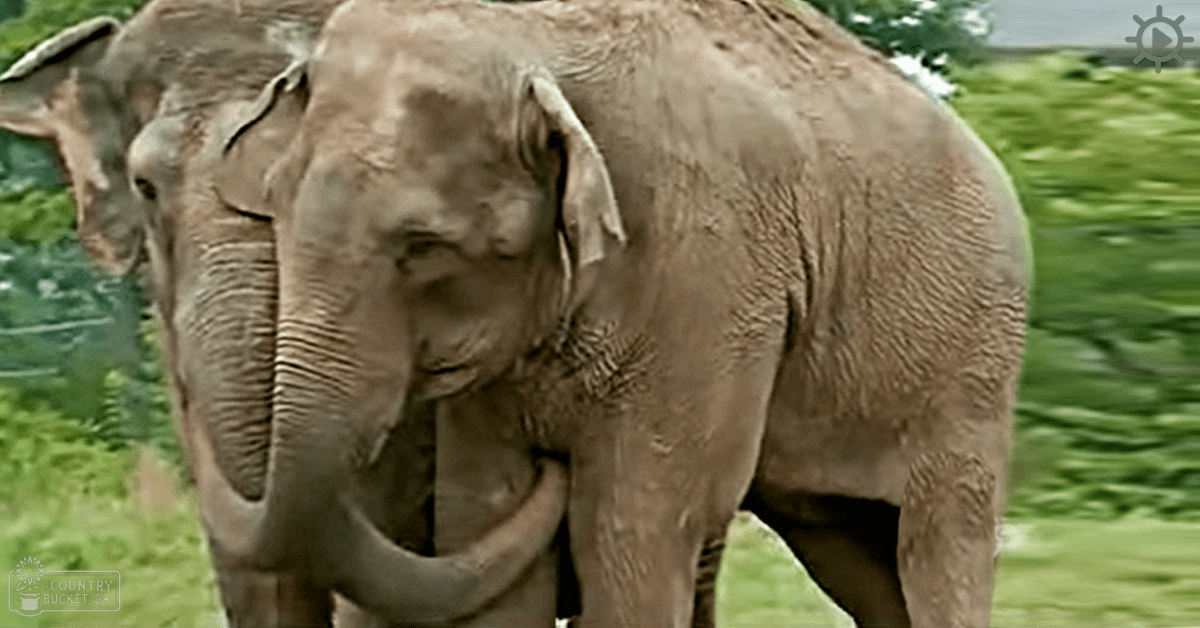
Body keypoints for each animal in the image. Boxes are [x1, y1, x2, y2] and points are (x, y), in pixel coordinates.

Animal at [212, 0, 1031, 626]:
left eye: (424, 247)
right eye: (273, 209)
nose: (556, 464)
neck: (536, 40)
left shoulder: (708, 282)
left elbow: (633, 529)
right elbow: (485, 516)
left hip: (969, 372)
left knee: (936, 541)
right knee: (853, 551)